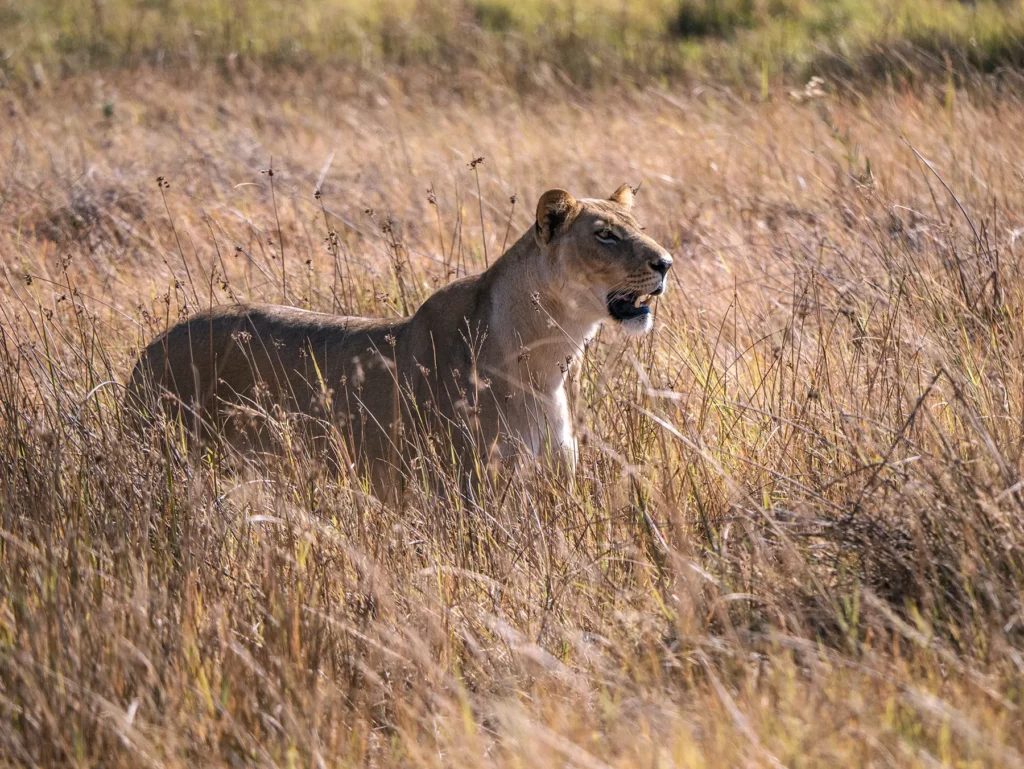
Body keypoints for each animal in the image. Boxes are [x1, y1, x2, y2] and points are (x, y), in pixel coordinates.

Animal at [127, 185, 673, 492]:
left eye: (638, 227)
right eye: (605, 234)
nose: (666, 263)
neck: (550, 356)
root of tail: (150, 348)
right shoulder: (465, 491)